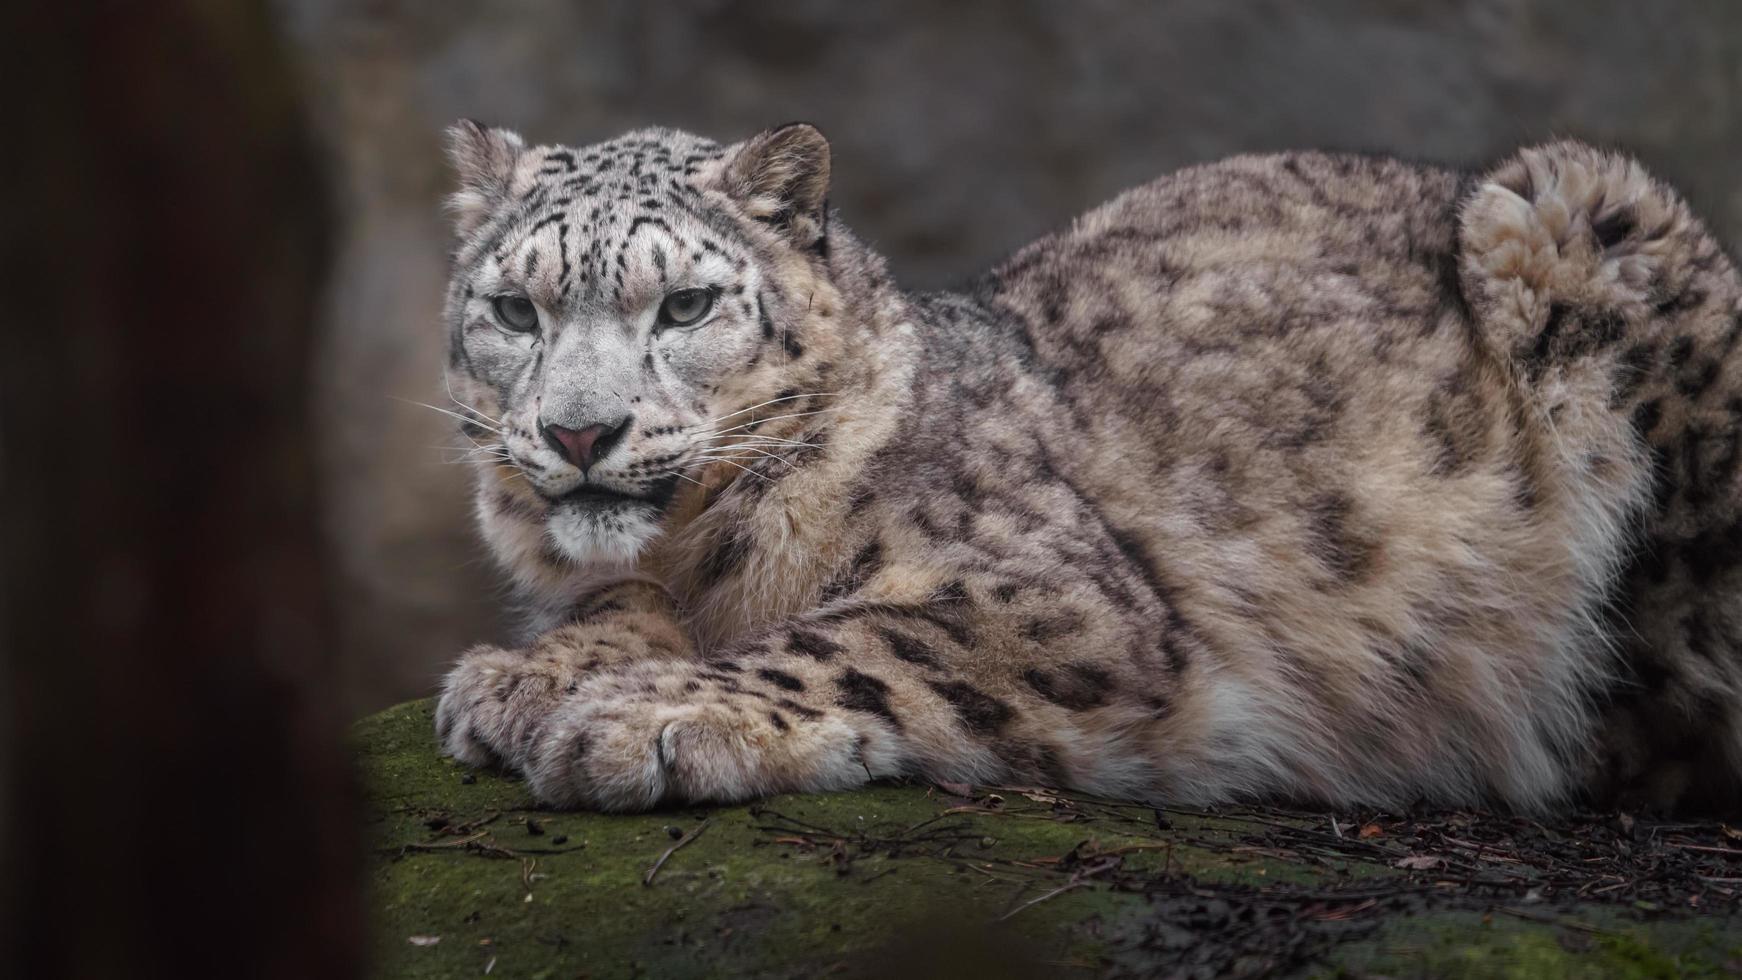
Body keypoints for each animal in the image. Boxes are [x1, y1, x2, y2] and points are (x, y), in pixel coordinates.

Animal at [428, 119, 1742, 818]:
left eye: (686, 304)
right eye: (514, 307)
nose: (579, 431)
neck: (703, 553)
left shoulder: (1044, 594)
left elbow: (843, 638)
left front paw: (642, 714)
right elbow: (613, 600)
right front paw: (524, 675)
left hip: (1577, 204)